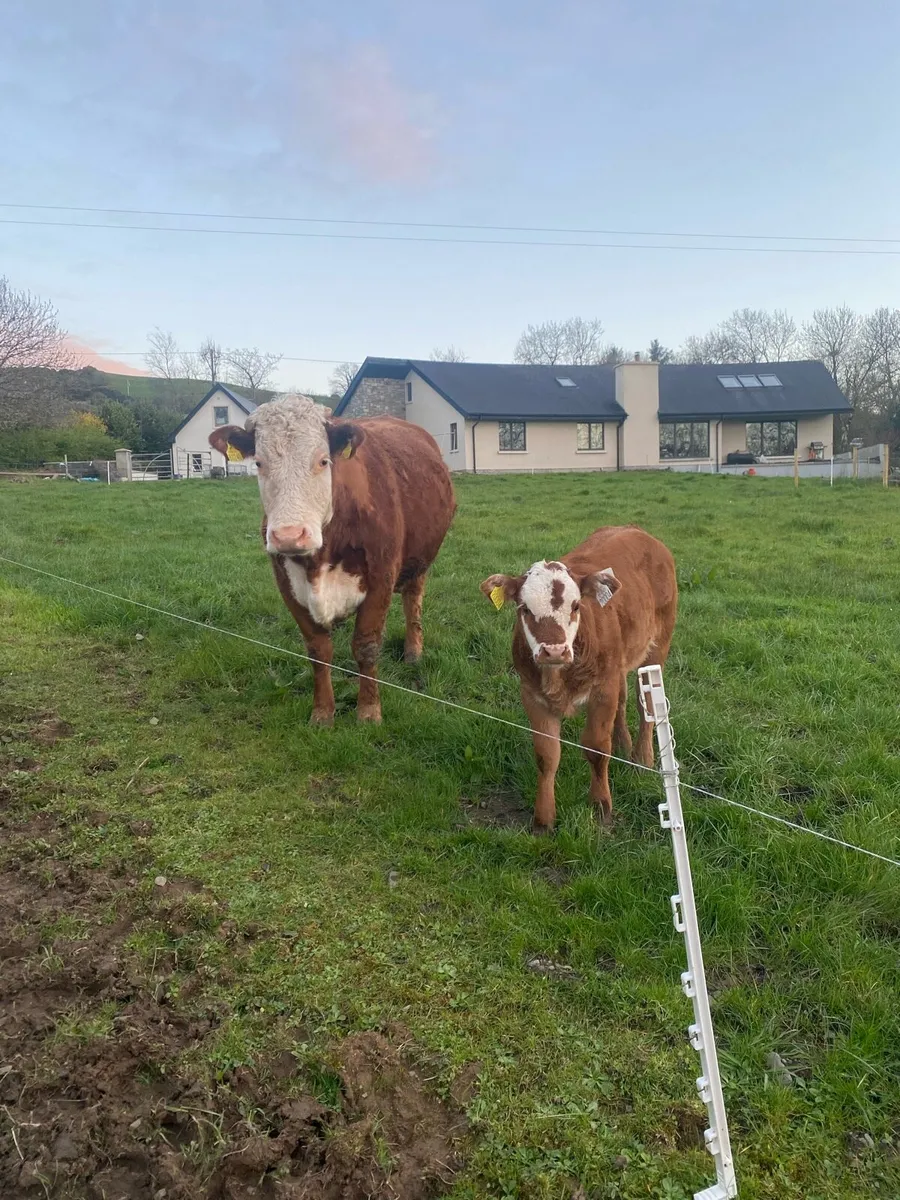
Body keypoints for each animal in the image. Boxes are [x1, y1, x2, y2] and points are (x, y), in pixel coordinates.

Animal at [210, 395, 455, 724]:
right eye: (259, 463)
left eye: (323, 461)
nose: (289, 535)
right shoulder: (287, 585)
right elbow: (318, 650)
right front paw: (323, 712)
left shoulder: (381, 577)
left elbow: (366, 646)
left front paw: (368, 711)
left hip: (421, 558)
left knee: (412, 600)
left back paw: (413, 652)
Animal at [480, 526, 677, 833]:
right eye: (524, 608)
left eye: (575, 606)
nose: (554, 650)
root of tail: (636, 530)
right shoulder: (532, 695)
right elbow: (547, 755)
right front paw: (543, 819)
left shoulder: (602, 690)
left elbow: (596, 747)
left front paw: (601, 806)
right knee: (622, 701)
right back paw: (623, 744)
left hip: (658, 645)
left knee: (644, 700)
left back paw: (642, 757)